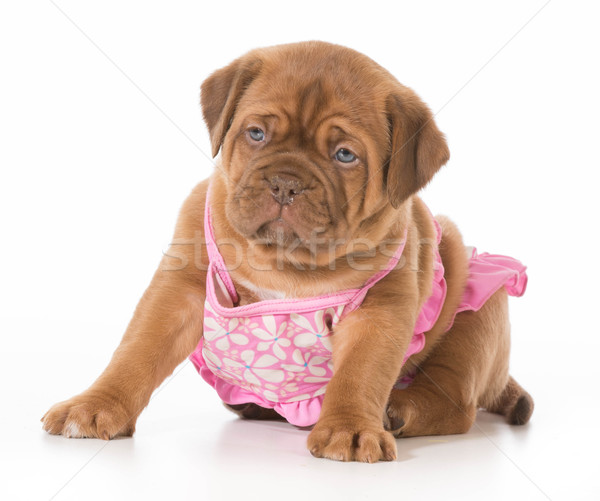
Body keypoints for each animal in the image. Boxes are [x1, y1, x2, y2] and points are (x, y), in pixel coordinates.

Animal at [39, 42, 532, 460]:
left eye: (345, 155)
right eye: (256, 133)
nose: (285, 183)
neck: (282, 263)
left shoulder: (378, 313)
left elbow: (360, 374)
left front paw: (351, 428)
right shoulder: (179, 290)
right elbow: (136, 352)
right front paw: (95, 406)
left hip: (477, 315)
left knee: (456, 404)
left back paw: (399, 410)